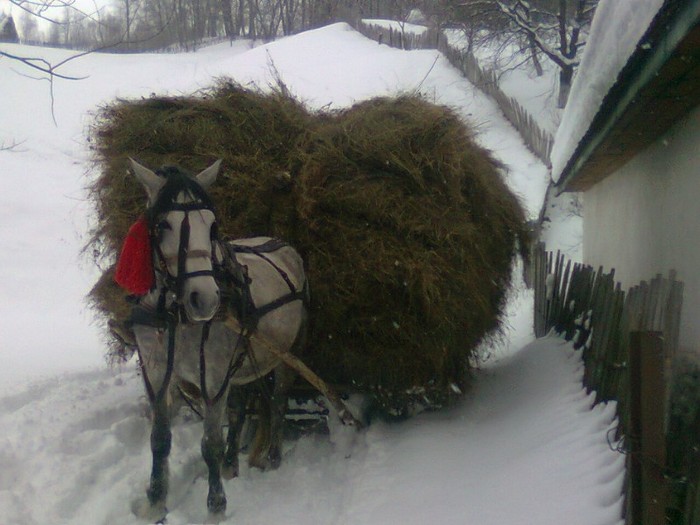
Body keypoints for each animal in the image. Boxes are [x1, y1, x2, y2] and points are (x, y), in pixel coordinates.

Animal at [121, 158, 308, 516]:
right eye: (163, 225)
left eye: (212, 227)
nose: (205, 299)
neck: (175, 316)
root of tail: (282, 244)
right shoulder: (156, 374)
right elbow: (159, 439)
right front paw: (156, 501)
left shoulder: (213, 378)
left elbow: (210, 443)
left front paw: (216, 506)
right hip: (240, 359)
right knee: (238, 410)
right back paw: (231, 463)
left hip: (285, 355)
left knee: (277, 402)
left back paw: (273, 456)